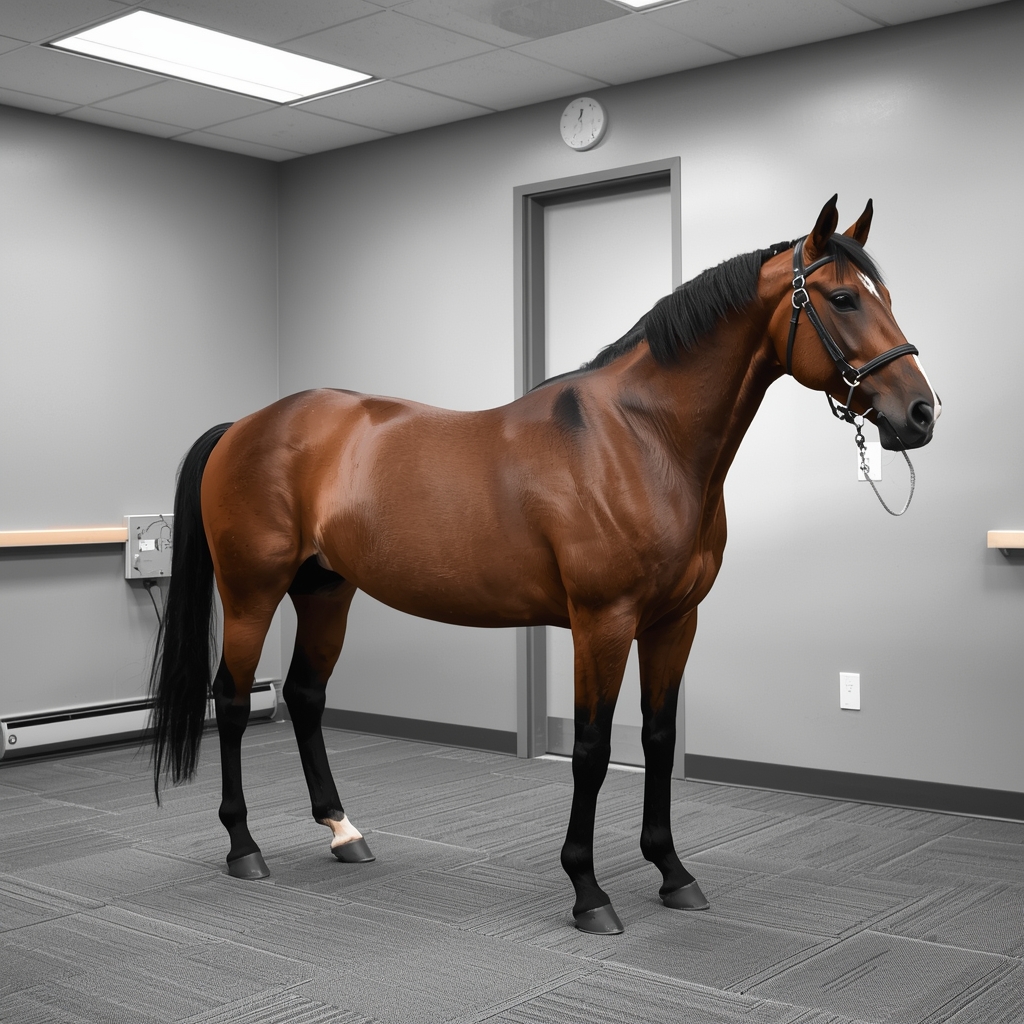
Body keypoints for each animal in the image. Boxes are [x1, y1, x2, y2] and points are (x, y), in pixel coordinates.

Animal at [150, 196, 938, 935]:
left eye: (883, 295)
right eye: (843, 298)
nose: (921, 413)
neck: (642, 440)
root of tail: (246, 425)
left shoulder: (674, 622)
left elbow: (657, 740)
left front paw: (672, 872)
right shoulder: (602, 622)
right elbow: (592, 749)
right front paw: (588, 891)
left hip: (325, 591)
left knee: (307, 697)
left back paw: (344, 832)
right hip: (252, 592)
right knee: (231, 701)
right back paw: (244, 847)